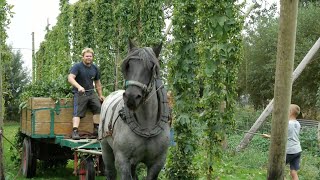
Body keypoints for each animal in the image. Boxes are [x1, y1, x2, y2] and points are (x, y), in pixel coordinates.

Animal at [99, 41, 171, 180]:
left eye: (151, 67)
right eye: (128, 66)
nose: (131, 97)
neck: (147, 126)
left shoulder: (158, 163)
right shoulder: (122, 160)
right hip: (106, 149)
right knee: (110, 172)